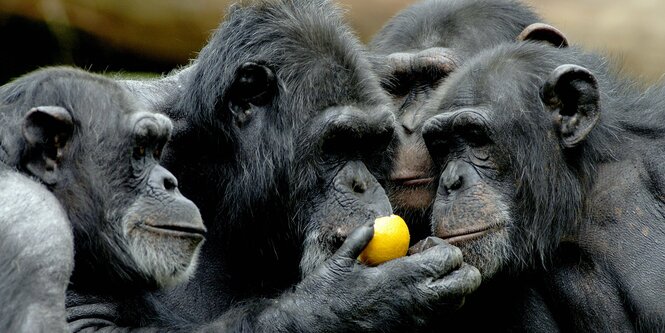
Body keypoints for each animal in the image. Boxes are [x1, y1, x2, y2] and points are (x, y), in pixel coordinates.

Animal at [66, 0, 478, 330]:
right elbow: (85, 321)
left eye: (370, 143)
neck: (216, 168)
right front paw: (365, 296)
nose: (361, 184)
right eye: (337, 142)